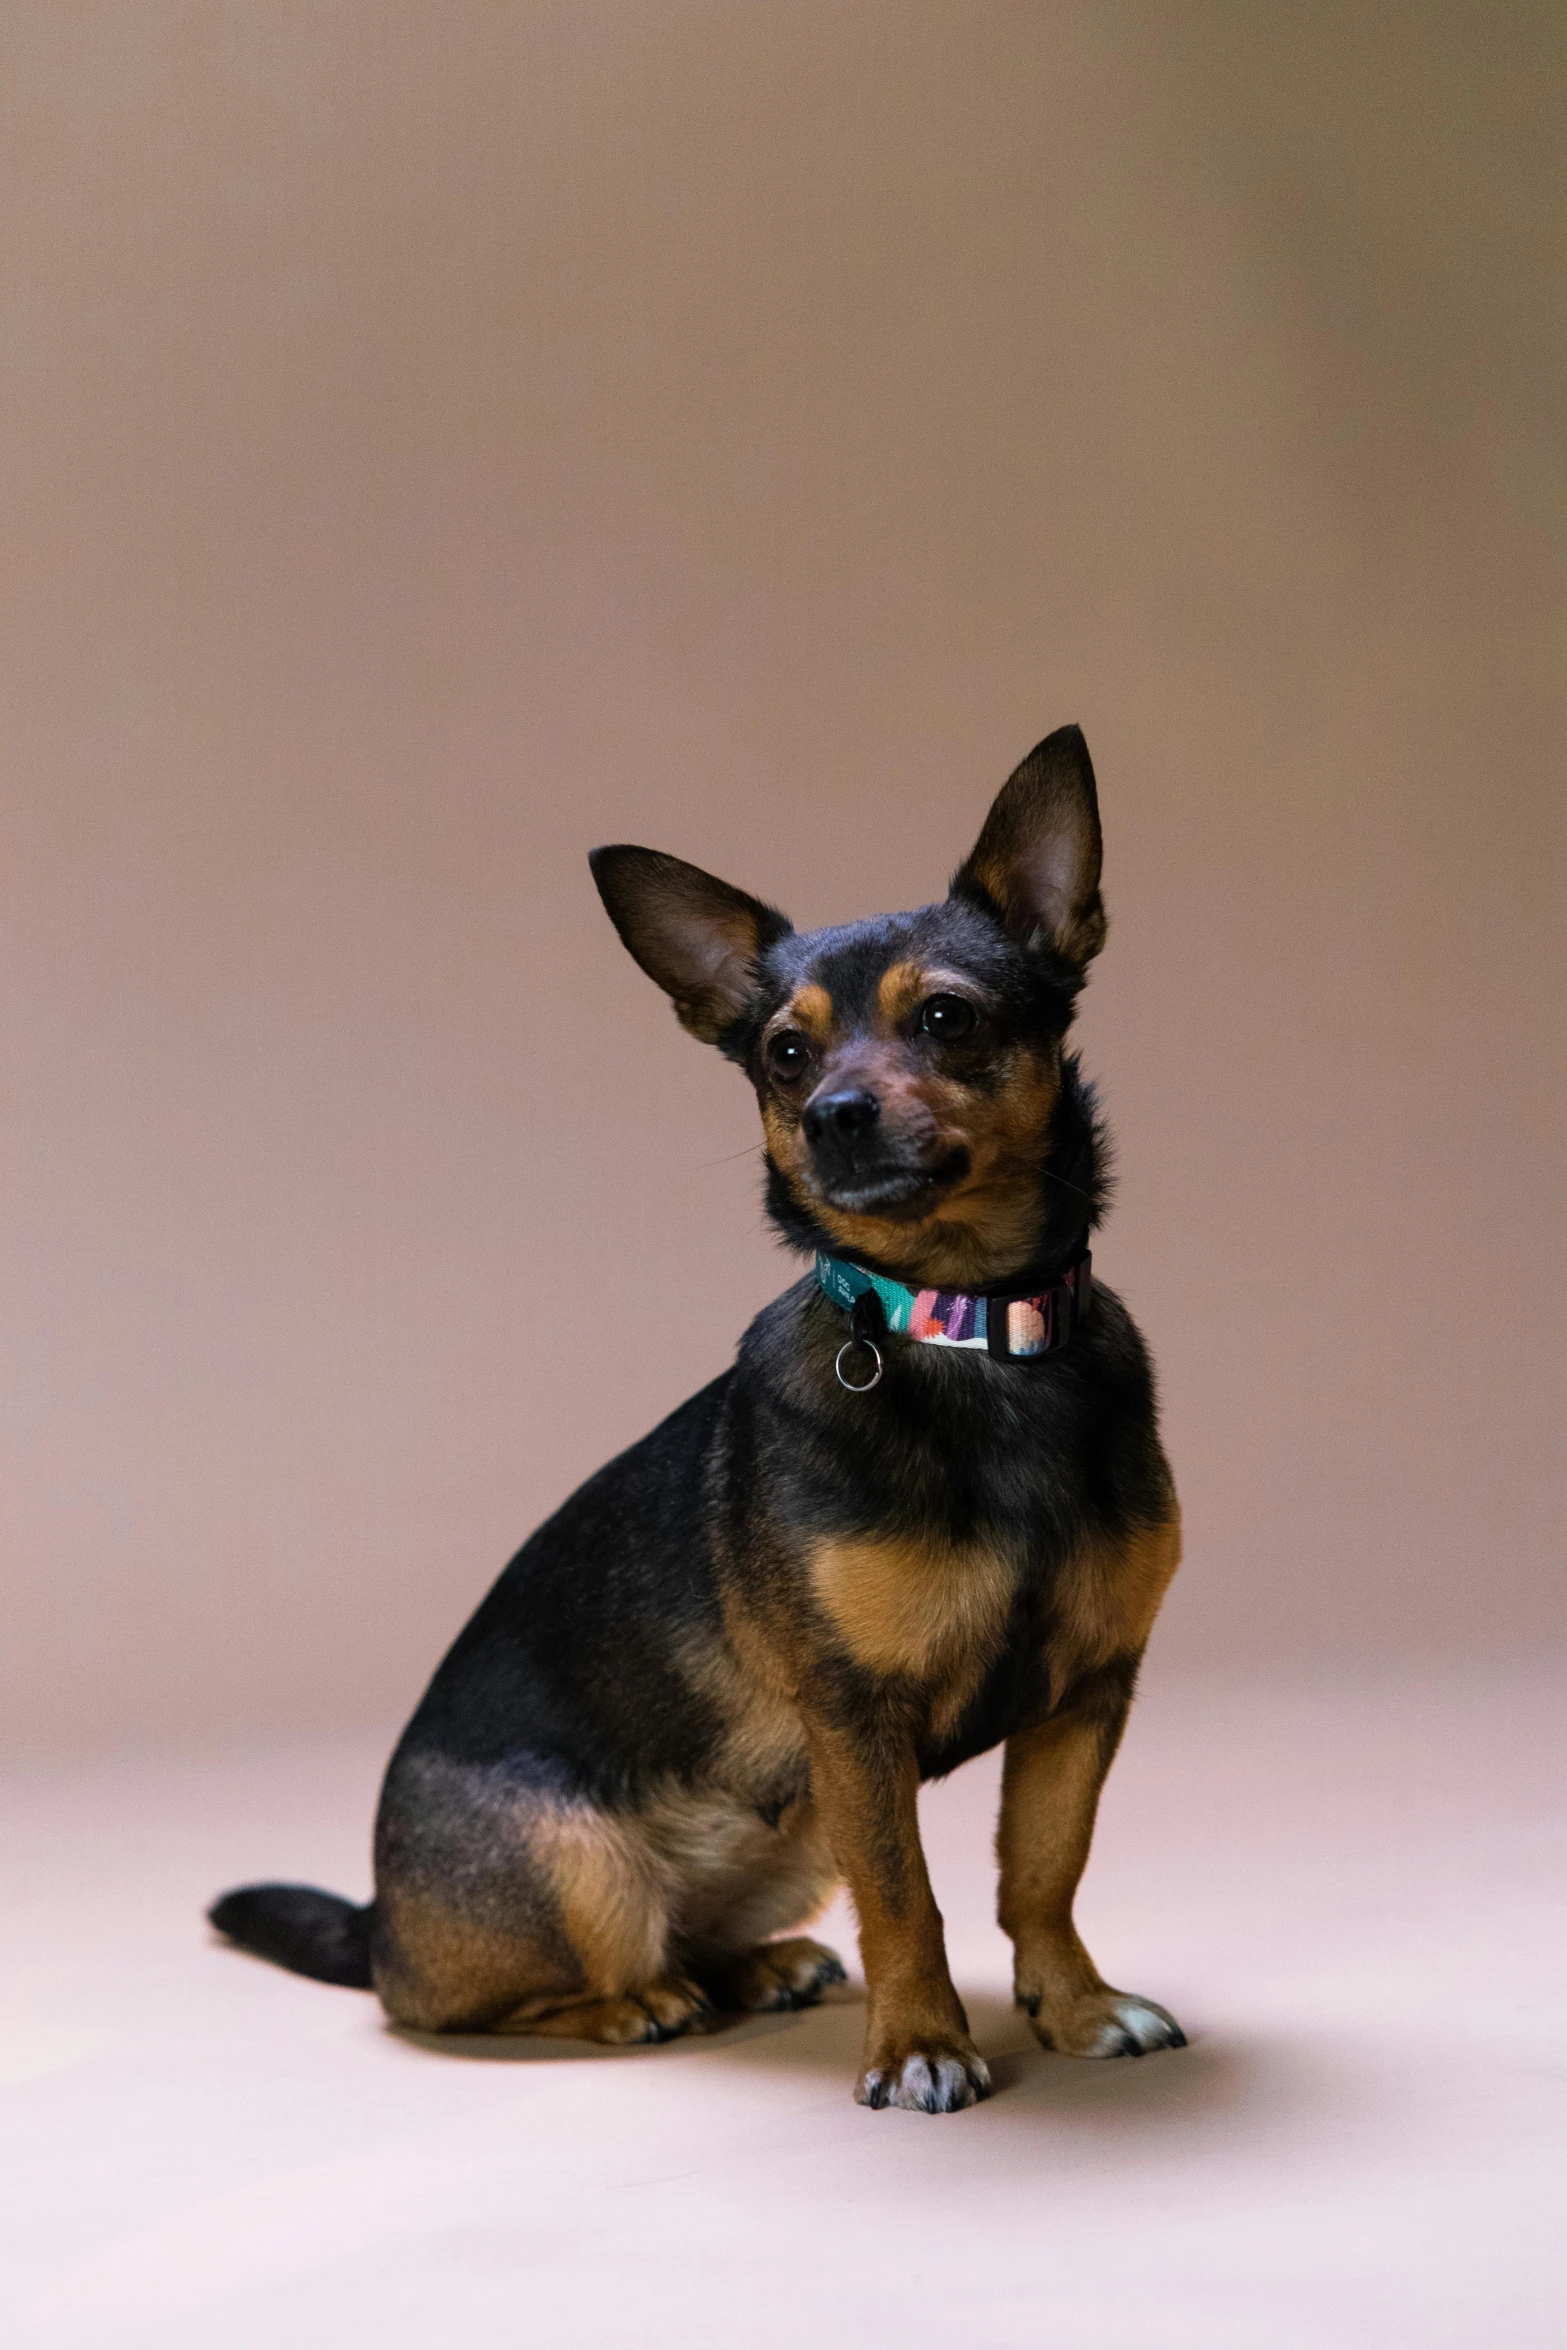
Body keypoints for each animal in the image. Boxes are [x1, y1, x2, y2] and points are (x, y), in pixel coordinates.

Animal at [211, 719, 1188, 2115]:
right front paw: (922, 2041)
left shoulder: (1083, 1696)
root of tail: (377, 1915)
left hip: (792, 1826)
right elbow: (909, 1896)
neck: (961, 1323)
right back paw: (638, 2004)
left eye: (947, 1018)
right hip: (585, 1869)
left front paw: (1076, 2004)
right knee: (467, 2001)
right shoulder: (854, 1725)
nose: (834, 1115)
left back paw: (757, 1965)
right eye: (784, 1052)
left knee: (703, 1934)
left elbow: (1041, 1874)